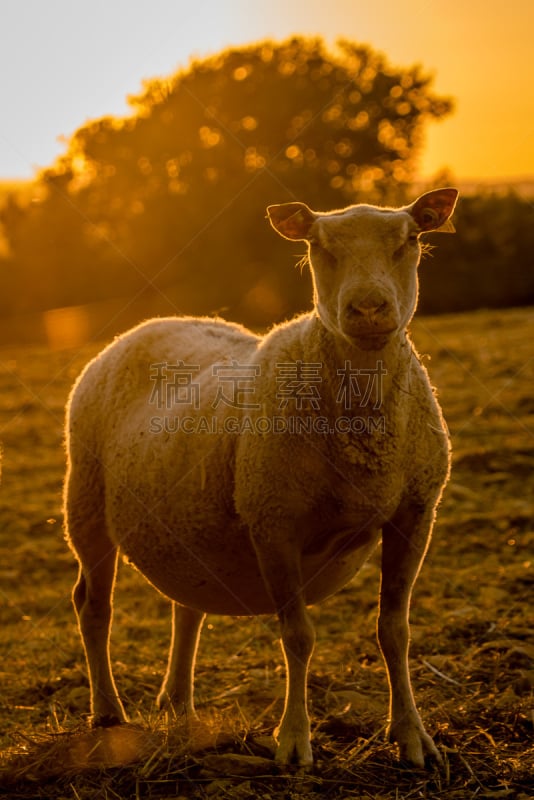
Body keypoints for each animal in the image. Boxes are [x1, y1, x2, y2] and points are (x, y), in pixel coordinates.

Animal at [65, 186, 460, 768]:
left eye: (410, 239)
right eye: (318, 246)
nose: (368, 308)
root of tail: (149, 324)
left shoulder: (416, 511)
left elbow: (395, 631)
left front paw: (412, 735)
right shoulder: (274, 520)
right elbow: (297, 636)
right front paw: (294, 741)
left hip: (187, 524)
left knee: (187, 609)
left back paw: (177, 703)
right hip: (85, 500)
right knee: (94, 606)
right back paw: (109, 712)